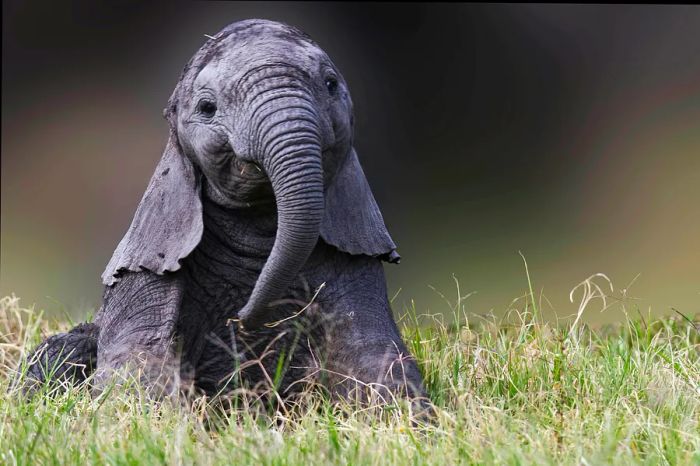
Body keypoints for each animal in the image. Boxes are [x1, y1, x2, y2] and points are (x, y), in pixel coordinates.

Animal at [23, 20, 426, 408]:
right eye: (207, 108)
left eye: (331, 85)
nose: (243, 318)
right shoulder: (143, 273)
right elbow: (137, 367)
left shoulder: (358, 264)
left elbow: (377, 361)